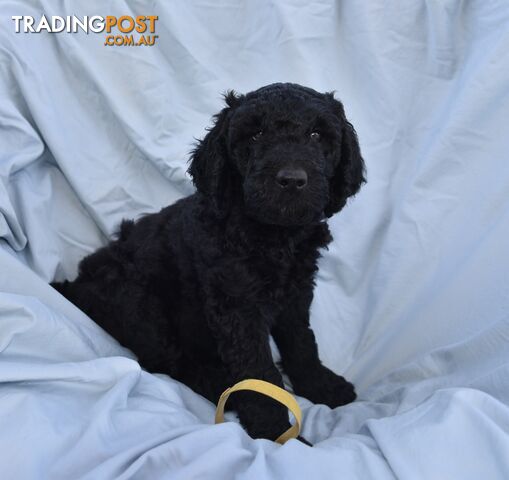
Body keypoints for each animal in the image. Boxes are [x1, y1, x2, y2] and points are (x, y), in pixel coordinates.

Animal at [52, 81, 366, 438]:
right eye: (256, 135)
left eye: (316, 135)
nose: (291, 179)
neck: (274, 236)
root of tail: (77, 285)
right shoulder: (236, 305)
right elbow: (258, 370)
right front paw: (273, 430)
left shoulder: (296, 291)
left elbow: (302, 341)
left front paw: (321, 385)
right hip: (139, 300)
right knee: (166, 360)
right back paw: (220, 387)